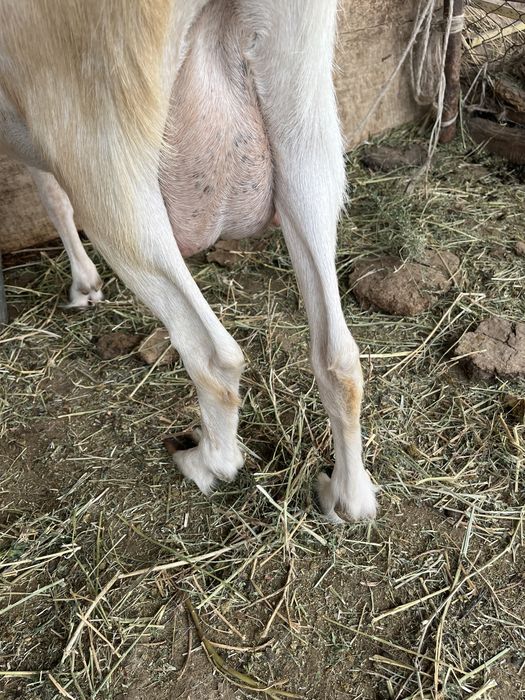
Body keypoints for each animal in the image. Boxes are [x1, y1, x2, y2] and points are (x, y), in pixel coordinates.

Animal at [0, 0, 378, 522]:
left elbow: (52, 198)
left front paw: (84, 285)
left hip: (102, 148)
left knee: (214, 356)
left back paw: (206, 463)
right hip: (304, 109)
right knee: (338, 356)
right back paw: (349, 494)